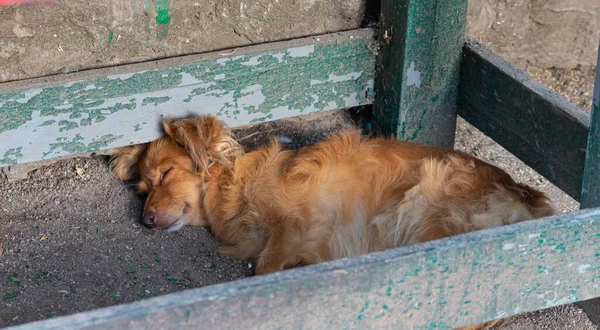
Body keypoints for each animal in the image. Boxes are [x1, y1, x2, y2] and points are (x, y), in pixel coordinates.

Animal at [111, 114, 552, 274]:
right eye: (143, 189)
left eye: (167, 173)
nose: (145, 220)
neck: (235, 189)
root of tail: (530, 202)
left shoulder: (292, 225)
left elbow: (265, 268)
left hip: (425, 204)